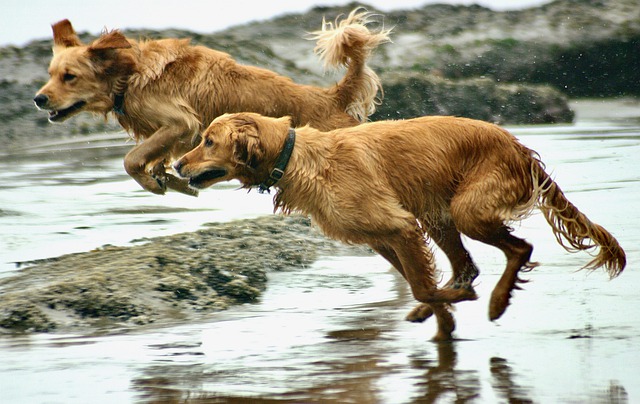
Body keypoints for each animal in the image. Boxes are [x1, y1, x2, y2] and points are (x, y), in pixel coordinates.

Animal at [35, 9, 390, 197]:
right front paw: (169, 179)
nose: (39, 99)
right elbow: (159, 158)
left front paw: (152, 183)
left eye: (69, 76)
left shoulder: (181, 121)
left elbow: (131, 159)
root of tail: (333, 95)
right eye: (50, 74)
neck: (129, 75)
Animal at [174, 113, 624, 340]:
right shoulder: (383, 237)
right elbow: (418, 282)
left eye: (208, 141)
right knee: (468, 265)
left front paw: (451, 308)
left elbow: (423, 285)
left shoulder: (399, 226)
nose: (177, 165)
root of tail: (520, 148)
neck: (300, 158)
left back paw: (495, 302)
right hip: (438, 215)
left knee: (519, 249)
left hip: (466, 208)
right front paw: (443, 320)